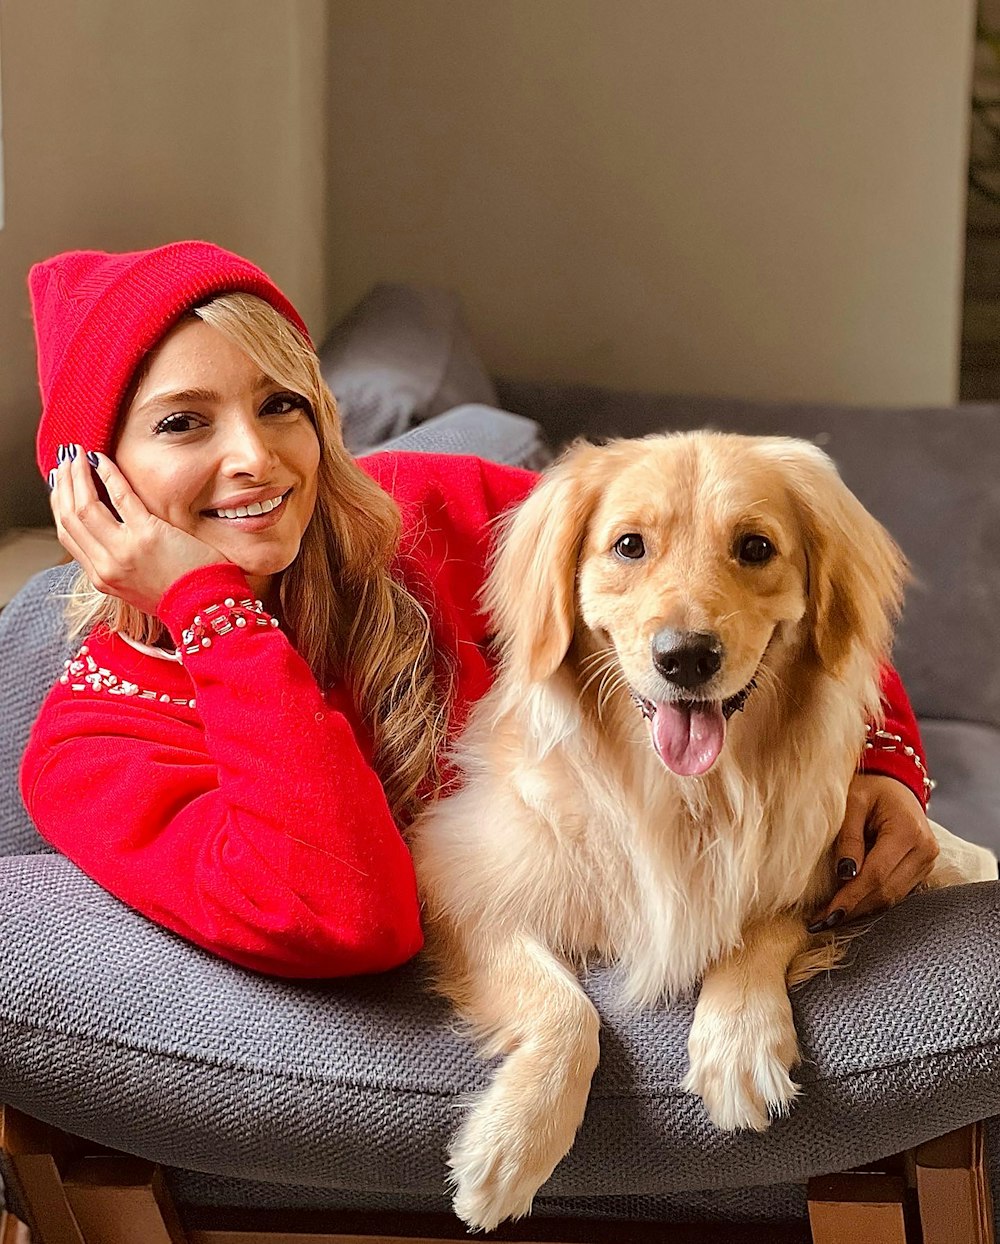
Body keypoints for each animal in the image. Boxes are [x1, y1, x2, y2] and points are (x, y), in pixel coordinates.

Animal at [405, 432, 990, 1229]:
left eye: (755, 547)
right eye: (628, 545)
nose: (686, 656)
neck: (689, 796)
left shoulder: (819, 867)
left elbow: (762, 924)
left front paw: (739, 1039)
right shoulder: (457, 882)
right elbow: (566, 1011)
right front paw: (513, 1142)